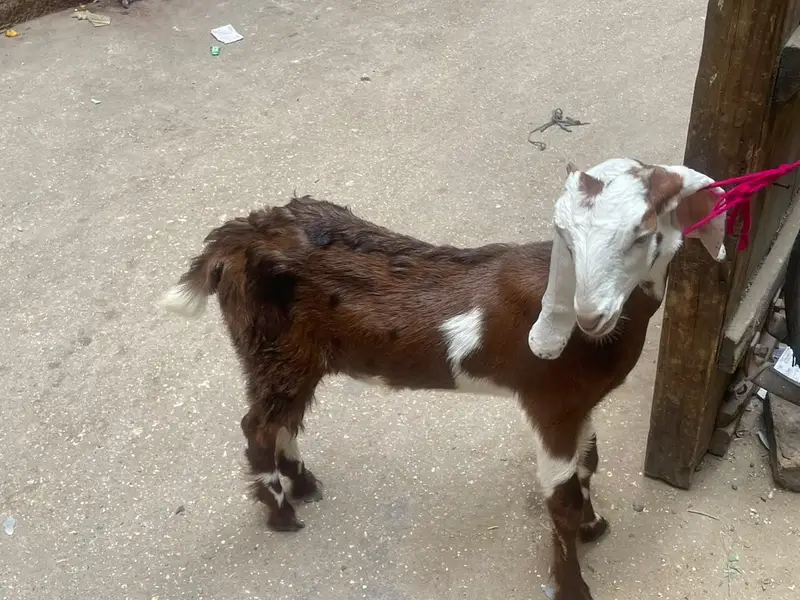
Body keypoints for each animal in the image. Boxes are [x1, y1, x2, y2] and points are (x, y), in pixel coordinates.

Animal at [159, 158, 726, 600]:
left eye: (643, 235)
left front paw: (594, 525)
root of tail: (234, 239)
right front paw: (574, 583)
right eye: (567, 240)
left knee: (283, 420)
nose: (590, 314)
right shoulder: (552, 402)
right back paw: (280, 512)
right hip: (273, 351)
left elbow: (589, 465)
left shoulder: (580, 405)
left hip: (295, 358)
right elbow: (560, 496)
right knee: (258, 424)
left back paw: (302, 484)